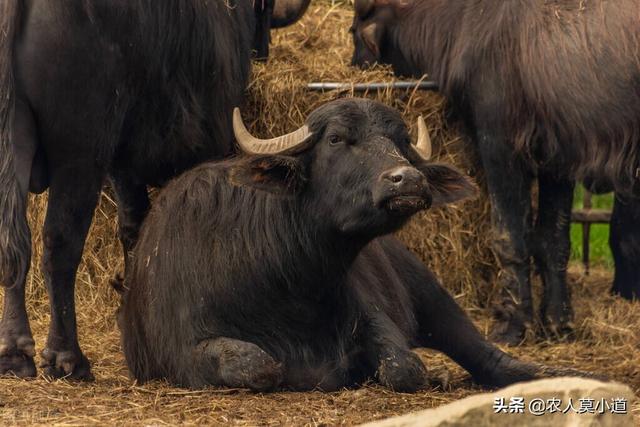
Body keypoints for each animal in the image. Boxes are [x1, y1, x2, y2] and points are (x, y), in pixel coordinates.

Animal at [0, 0, 260, 382]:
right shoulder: (210, 137)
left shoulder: (123, 164)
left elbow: (134, 229)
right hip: (80, 151)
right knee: (60, 246)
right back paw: (67, 357)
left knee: (13, 247)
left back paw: (15, 352)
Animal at [117, 99, 588, 392]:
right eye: (336, 139)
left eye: (400, 142)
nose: (408, 180)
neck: (287, 284)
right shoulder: (181, 351)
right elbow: (260, 364)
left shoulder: (375, 317)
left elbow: (403, 365)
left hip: (434, 295)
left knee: (489, 358)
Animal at [348, 0, 640, 344]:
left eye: (353, 32)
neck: (463, 22)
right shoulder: (556, 161)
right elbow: (553, 240)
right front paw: (557, 322)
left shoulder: (499, 145)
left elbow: (510, 238)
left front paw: (513, 324)